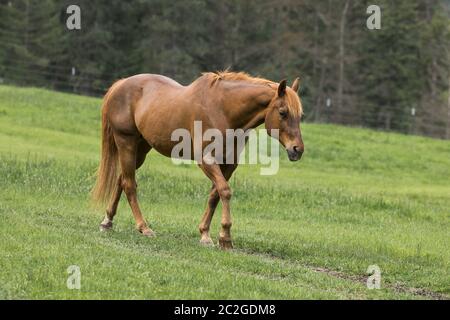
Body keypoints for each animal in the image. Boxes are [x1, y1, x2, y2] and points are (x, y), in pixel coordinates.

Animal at [91, 71, 304, 249]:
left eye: (300, 115)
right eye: (283, 112)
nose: (297, 150)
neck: (223, 110)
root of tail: (121, 84)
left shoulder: (229, 164)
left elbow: (215, 195)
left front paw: (205, 234)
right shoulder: (206, 160)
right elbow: (225, 191)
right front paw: (225, 237)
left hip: (141, 148)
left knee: (121, 179)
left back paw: (107, 221)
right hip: (126, 142)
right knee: (129, 184)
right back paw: (144, 227)